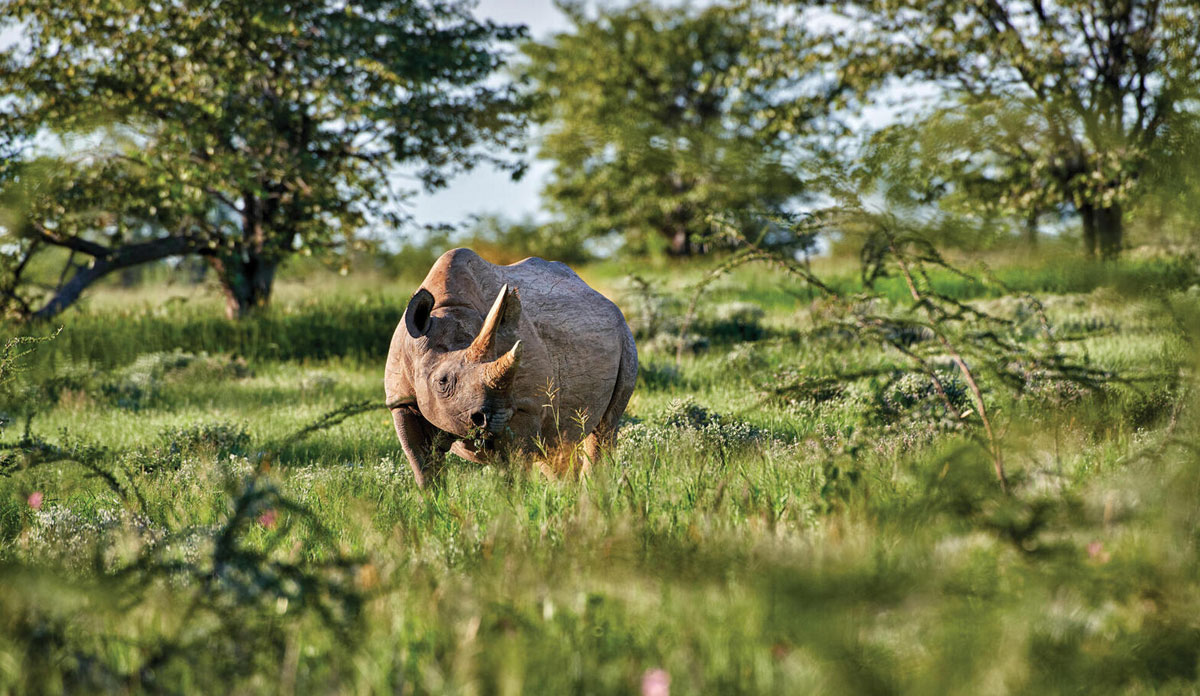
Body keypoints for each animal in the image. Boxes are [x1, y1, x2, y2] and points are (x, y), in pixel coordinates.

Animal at [388, 248, 643, 484]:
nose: (490, 419)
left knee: (604, 427)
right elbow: (422, 464)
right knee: (556, 444)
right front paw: (433, 502)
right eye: (442, 382)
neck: (448, 310)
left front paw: (513, 500)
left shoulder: (524, 407)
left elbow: (515, 465)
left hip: (625, 338)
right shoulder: (401, 399)